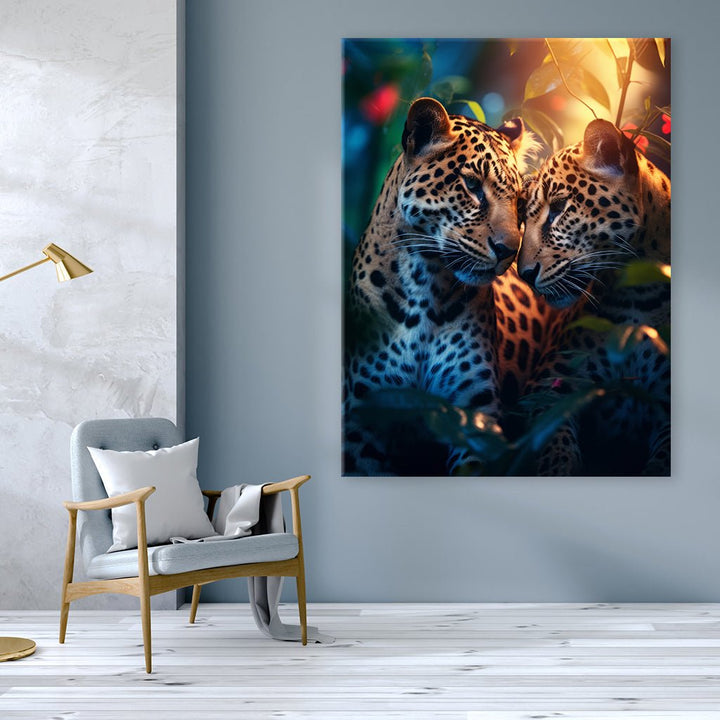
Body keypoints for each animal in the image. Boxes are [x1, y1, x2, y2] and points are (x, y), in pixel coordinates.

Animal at [343, 97, 538, 476]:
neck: (426, 284)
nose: (509, 251)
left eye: (521, 203)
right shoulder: (365, 420)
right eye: (472, 186)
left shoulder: (474, 413)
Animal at [504, 118, 671, 475]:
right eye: (523, 215)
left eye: (558, 209)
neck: (640, 294)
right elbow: (555, 447)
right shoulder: (546, 387)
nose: (524, 274)